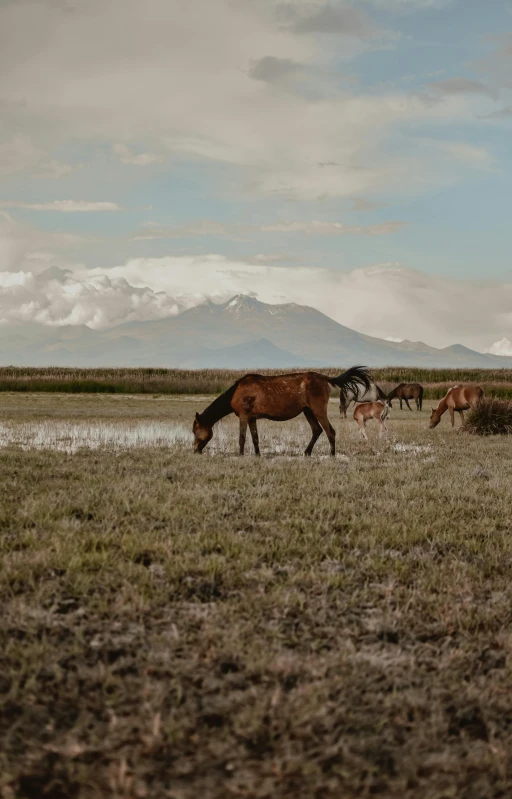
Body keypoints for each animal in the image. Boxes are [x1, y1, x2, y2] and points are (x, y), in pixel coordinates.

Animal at [191, 364, 368, 456]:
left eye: (194, 430)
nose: (195, 450)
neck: (234, 393)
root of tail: (325, 378)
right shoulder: (252, 417)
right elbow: (255, 438)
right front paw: (257, 454)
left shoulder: (243, 415)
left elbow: (242, 438)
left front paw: (240, 455)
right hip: (307, 411)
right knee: (317, 430)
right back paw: (307, 452)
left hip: (318, 409)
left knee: (330, 431)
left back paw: (332, 454)